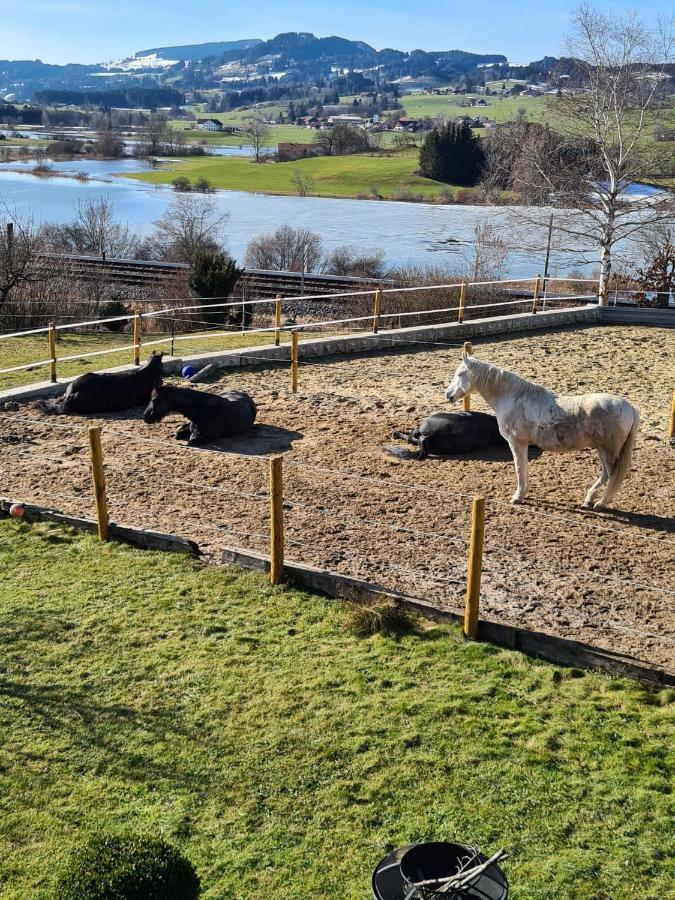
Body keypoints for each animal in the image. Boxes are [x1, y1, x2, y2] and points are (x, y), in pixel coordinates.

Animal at [444, 350, 640, 510]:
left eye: (460, 374)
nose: (448, 395)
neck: (513, 398)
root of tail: (629, 407)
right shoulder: (523, 444)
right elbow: (523, 468)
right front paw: (522, 493)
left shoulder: (516, 443)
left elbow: (519, 469)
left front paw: (517, 497)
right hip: (602, 449)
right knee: (606, 475)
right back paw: (589, 500)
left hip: (608, 450)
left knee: (613, 476)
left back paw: (601, 503)